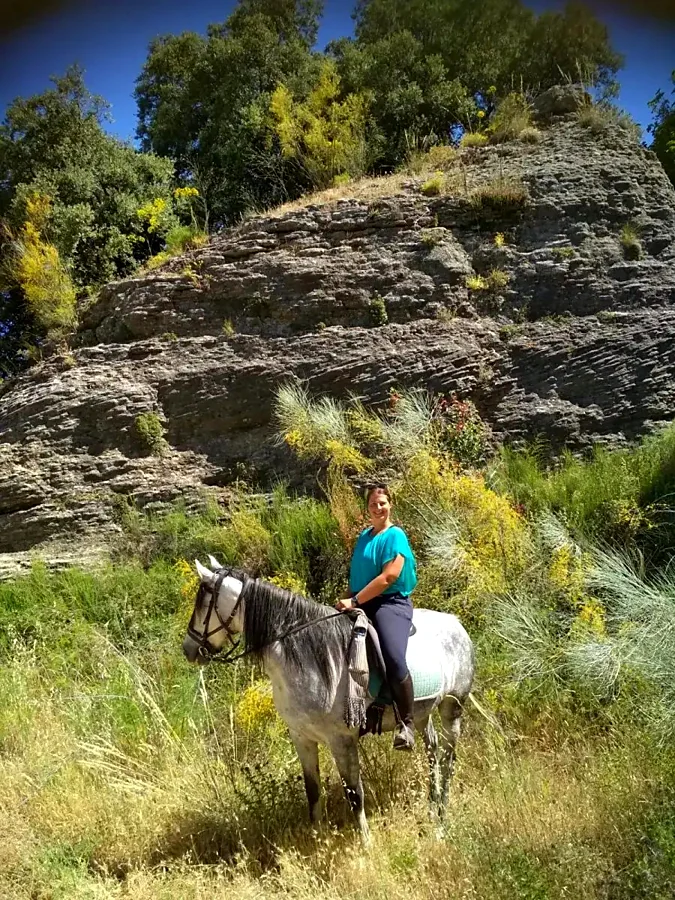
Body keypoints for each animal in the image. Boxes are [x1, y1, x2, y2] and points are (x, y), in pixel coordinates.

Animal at [182, 557, 475, 843]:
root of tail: (456, 624)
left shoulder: (341, 740)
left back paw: (441, 815)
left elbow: (355, 795)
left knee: (448, 758)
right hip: (422, 713)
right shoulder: (301, 737)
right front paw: (317, 839)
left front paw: (366, 844)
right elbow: (312, 790)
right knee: (432, 751)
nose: (188, 649)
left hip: (452, 708)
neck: (308, 659)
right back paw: (432, 804)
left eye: (202, 602)